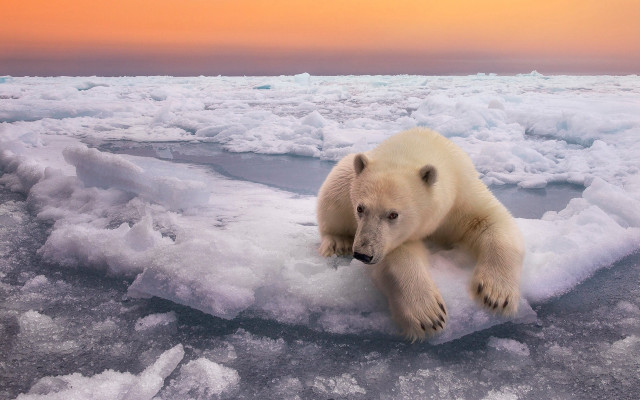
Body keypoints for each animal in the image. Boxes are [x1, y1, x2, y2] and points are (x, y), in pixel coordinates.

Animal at [317, 128, 524, 342]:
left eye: (393, 214)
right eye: (360, 208)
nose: (363, 253)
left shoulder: (464, 193)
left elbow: (490, 221)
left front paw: (495, 295)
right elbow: (399, 255)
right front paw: (429, 314)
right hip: (345, 180)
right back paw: (338, 242)